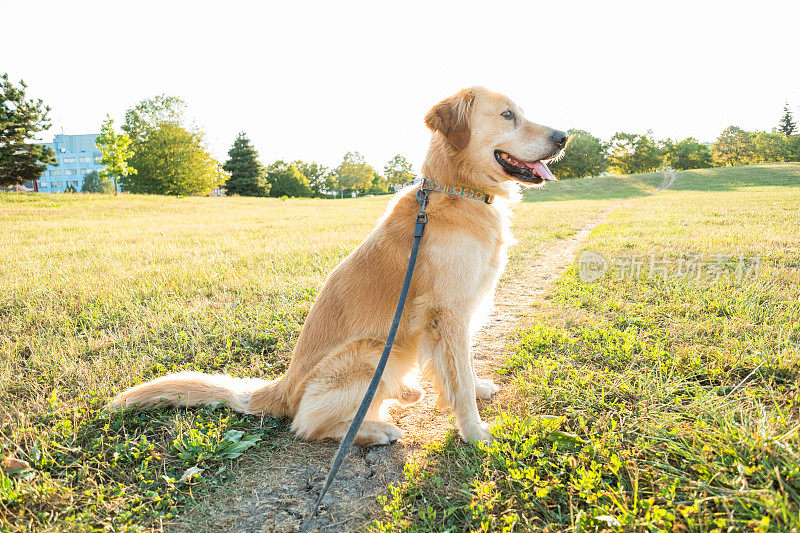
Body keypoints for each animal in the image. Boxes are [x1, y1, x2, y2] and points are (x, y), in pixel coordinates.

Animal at [109, 86, 564, 444]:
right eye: (507, 115)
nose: (564, 136)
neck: (456, 191)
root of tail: (281, 388)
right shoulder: (447, 313)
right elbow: (459, 379)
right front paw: (474, 431)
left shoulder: (453, 317)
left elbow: (460, 372)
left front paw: (475, 389)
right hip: (372, 351)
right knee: (306, 424)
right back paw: (376, 429)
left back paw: (408, 393)